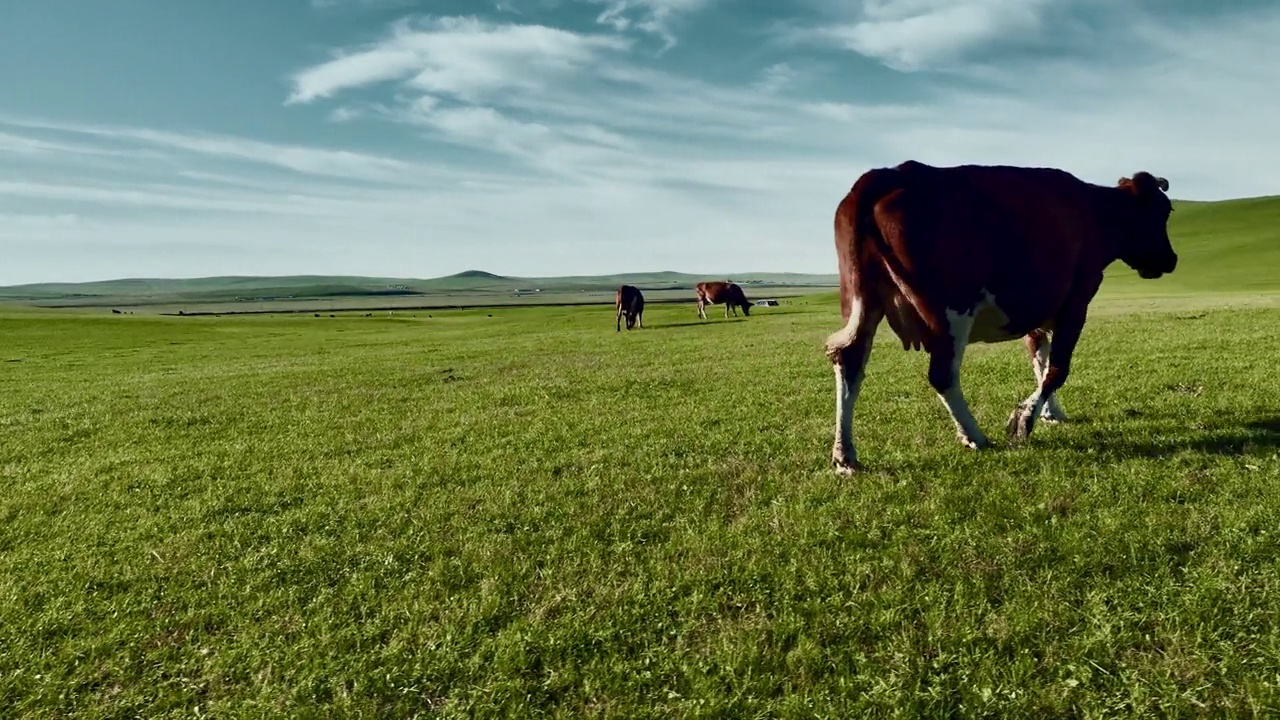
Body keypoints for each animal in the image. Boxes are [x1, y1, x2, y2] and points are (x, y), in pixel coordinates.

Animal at [824, 160, 1172, 471]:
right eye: (1165, 211)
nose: (1172, 259)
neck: (1096, 214)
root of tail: (889, 174)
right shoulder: (1076, 303)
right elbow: (1058, 369)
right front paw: (1025, 419)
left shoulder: (1035, 311)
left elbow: (1040, 359)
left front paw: (1050, 413)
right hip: (951, 312)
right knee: (942, 374)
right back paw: (974, 436)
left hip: (863, 299)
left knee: (849, 359)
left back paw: (845, 455)